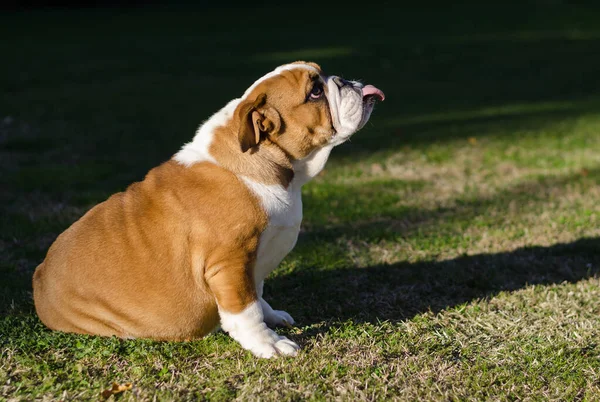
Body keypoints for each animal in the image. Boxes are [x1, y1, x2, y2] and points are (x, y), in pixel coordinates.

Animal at [32, 60, 384, 358]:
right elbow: (245, 308)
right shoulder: (229, 263)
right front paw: (268, 344)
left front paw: (272, 316)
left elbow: (257, 294)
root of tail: (39, 278)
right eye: (315, 92)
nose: (345, 81)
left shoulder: (253, 263)